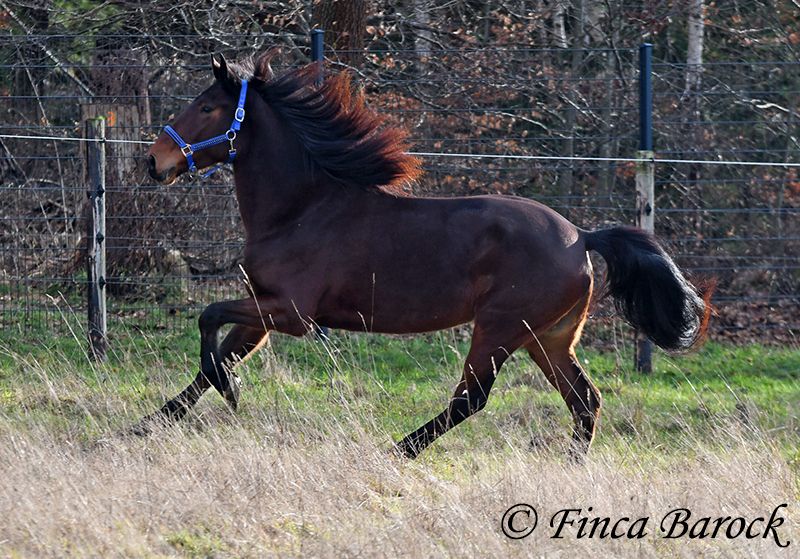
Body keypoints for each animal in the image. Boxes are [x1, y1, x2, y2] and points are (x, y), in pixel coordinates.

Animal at [144, 51, 711, 459]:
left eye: (207, 107)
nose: (155, 161)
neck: (301, 208)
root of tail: (581, 236)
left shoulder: (291, 314)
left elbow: (207, 320)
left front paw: (231, 391)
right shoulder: (263, 312)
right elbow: (213, 358)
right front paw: (148, 424)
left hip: (501, 328)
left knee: (472, 398)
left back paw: (398, 450)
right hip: (548, 338)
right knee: (584, 401)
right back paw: (571, 464)